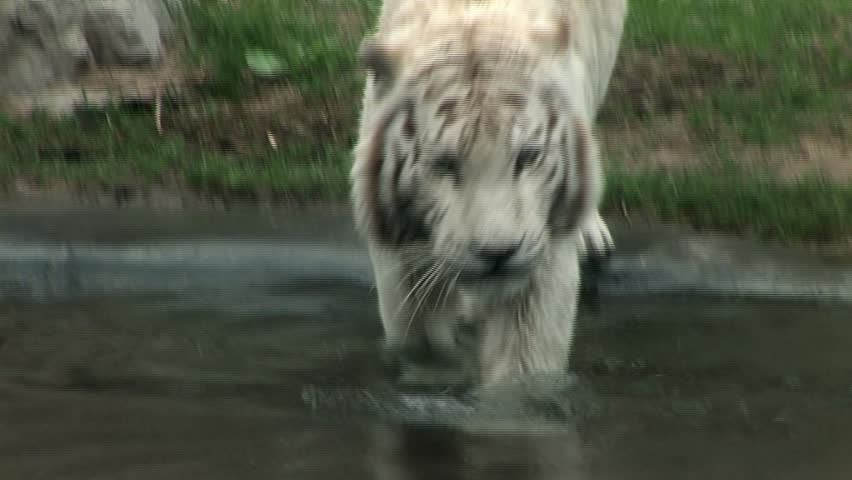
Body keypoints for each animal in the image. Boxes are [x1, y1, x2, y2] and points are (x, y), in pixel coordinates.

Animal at [350, 0, 628, 387]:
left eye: (527, 157)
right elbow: (423, 349)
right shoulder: (402, 262)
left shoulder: (540, 259)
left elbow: (521, 373)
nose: (498, 254)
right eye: (444, 164)